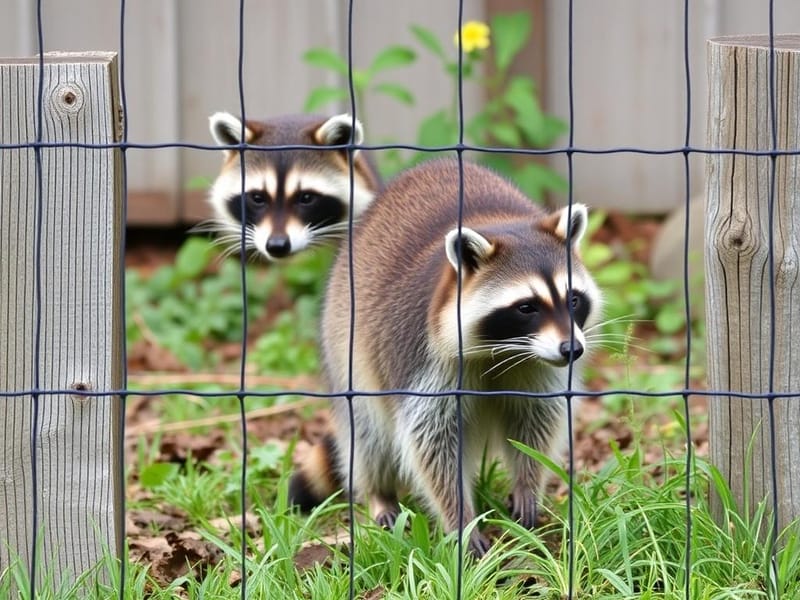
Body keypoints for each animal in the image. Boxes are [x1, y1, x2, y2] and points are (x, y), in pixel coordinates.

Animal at [289, 158, 602, 557]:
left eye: (573, 299)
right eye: (527, 307)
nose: (572, 350)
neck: (501, 348)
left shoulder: (536, 365)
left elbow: (535, 419)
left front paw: (528, 483)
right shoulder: (421, 355)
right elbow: (432, 442)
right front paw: (461, 518)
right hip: (344, 340)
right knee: (368, 432)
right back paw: (379, 492)